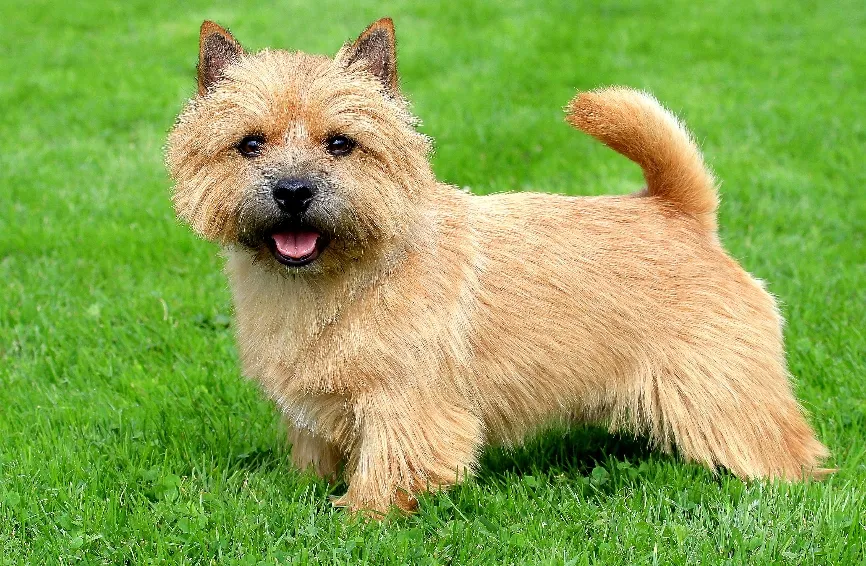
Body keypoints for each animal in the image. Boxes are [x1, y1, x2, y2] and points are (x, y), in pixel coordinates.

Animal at [164, 17, 832, 516]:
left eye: (340, 144)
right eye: (249, 143)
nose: (293, 190)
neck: (336, 280)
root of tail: (680, 211)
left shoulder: (405, 402)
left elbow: (390, 465)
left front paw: (357, 515)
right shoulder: (312, 405)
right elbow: (312, 453)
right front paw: (302, 489)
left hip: (721, 385)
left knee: (777, 444)